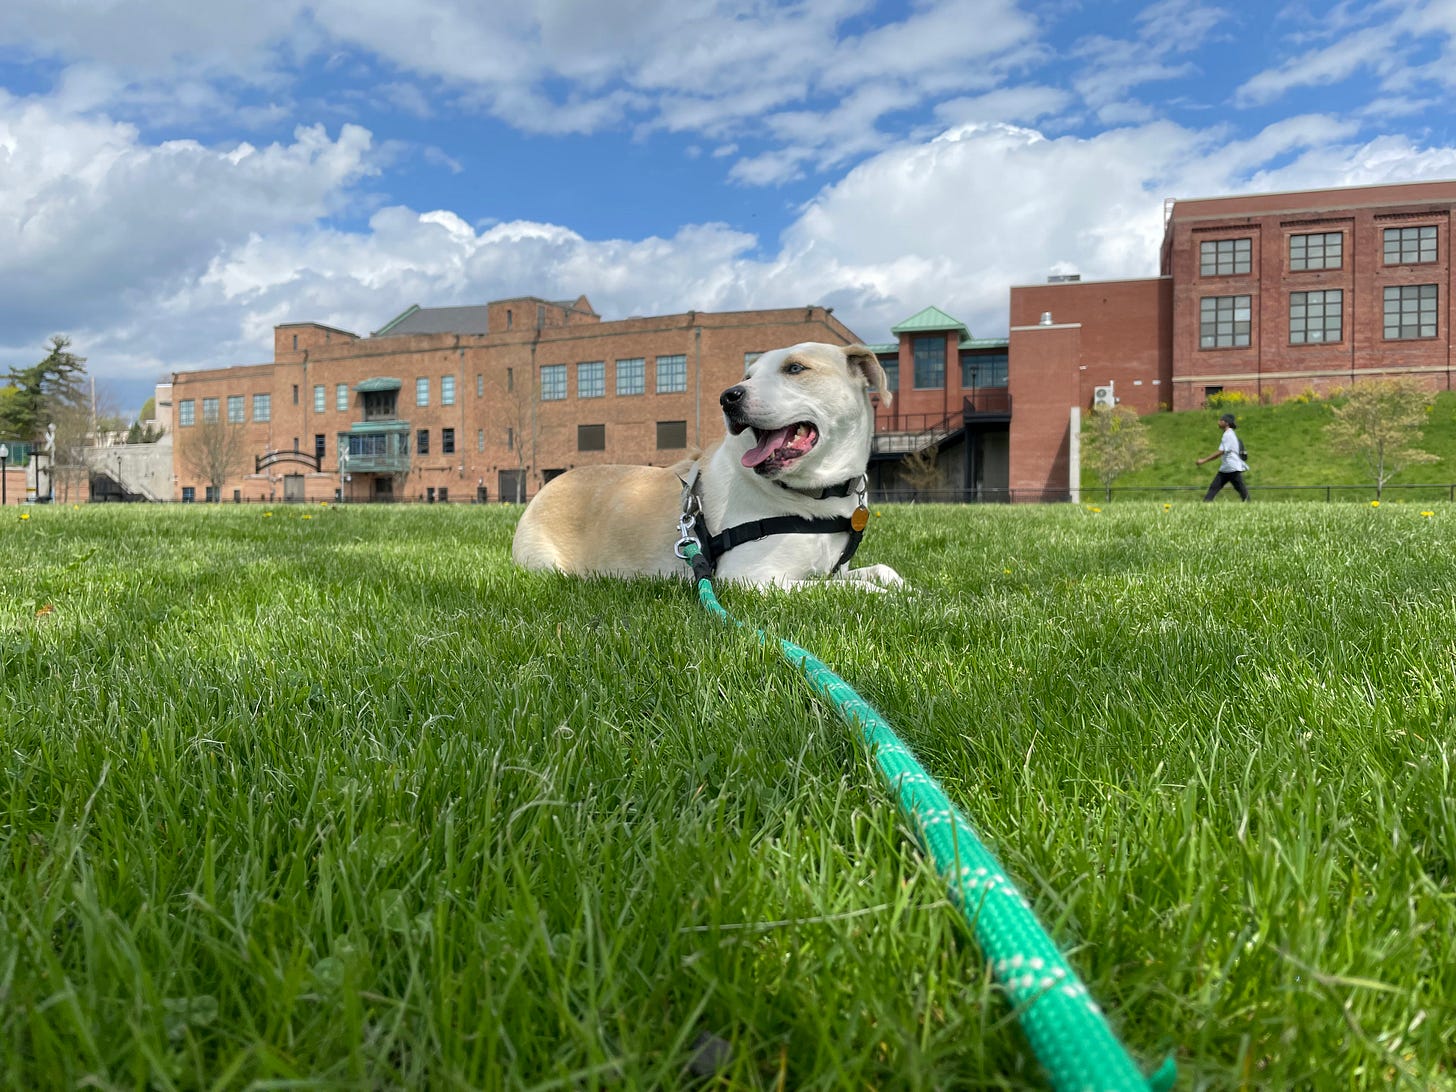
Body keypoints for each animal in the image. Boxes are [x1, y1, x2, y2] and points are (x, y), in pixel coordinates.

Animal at [511, 342, 903, 589]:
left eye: (795, 368)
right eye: (747, 376)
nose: (728, 396)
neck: (815, 494)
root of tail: (547, 487)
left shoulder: (830, 571)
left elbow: (884, 572)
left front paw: (908, 590)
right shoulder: (753, 578)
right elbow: (857, 591)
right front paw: (896, 599)